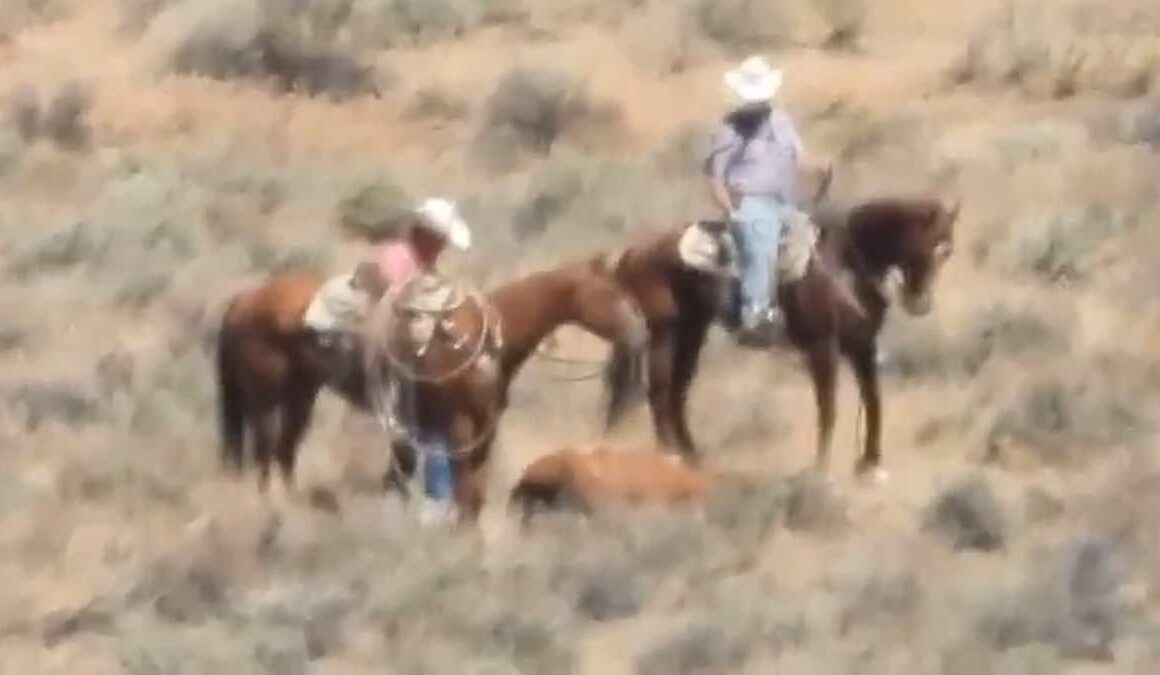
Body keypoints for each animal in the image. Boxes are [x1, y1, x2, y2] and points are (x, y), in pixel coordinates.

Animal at [598, 193, 960, 484]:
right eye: (930, 247)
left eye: (947, 252)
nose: (919, 303)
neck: (844, 262)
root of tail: (634, 252)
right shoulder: (823, 346)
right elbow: (828, 407)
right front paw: (821, 469)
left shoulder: (863, 346)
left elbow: (873, 401)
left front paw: (870, 465)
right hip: (666, 332)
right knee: (659, 390)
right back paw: (670, 455)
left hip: (692, 330)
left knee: (677, 391)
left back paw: (691, 455)